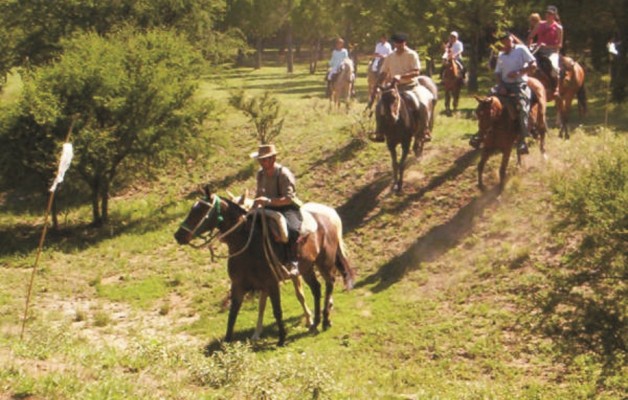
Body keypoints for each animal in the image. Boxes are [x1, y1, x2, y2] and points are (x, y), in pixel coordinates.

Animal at [174, 188, 356, 346]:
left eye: (202, 211)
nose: (178, 235)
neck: (247, 244)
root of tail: (330, 214)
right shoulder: (239, 285)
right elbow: (235, 313)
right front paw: (231, 340)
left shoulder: (271, 282)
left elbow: (278, 309)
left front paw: (282, 338)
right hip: (307, 268)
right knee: (317, 289)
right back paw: (316, 323)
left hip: (324, 262)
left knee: (329, 284)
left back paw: (325, 320)